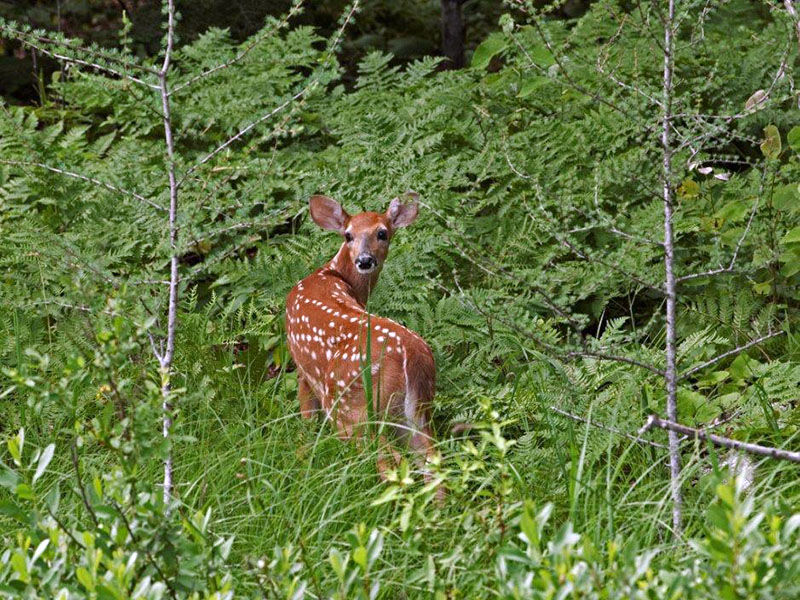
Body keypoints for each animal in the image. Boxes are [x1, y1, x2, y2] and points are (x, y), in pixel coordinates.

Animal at [285, 193, 439, 489]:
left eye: (382, 233)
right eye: (348, 235)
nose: (365, 260)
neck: (332, 273)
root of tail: (411, 356)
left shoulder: (302, 369)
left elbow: (306, 418)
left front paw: (301, 456)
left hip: (352, 409)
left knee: (389, 460)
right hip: (417, 408)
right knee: (432, 460)